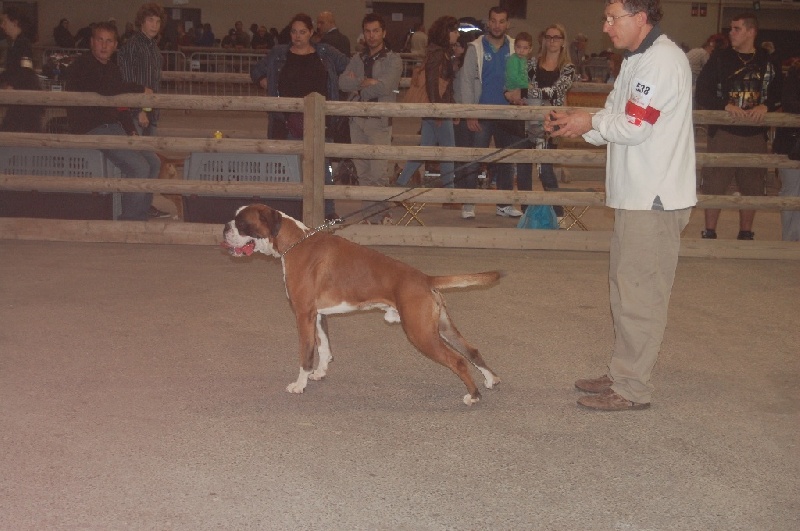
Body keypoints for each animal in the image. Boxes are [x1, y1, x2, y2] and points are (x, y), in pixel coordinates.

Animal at [220, 206, 500, 406]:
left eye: (242, 223)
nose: (224, 227)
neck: (293, 241)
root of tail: (425, 278)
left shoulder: (303, 315)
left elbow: (306, 354)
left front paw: (299, 385)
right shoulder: (317, 315)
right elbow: (324, 348)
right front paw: (319, 373)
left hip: (421, 334)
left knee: (458, 360)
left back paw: (473, 396)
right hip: (441, 327)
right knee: (471, 350)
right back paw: (491, 380)